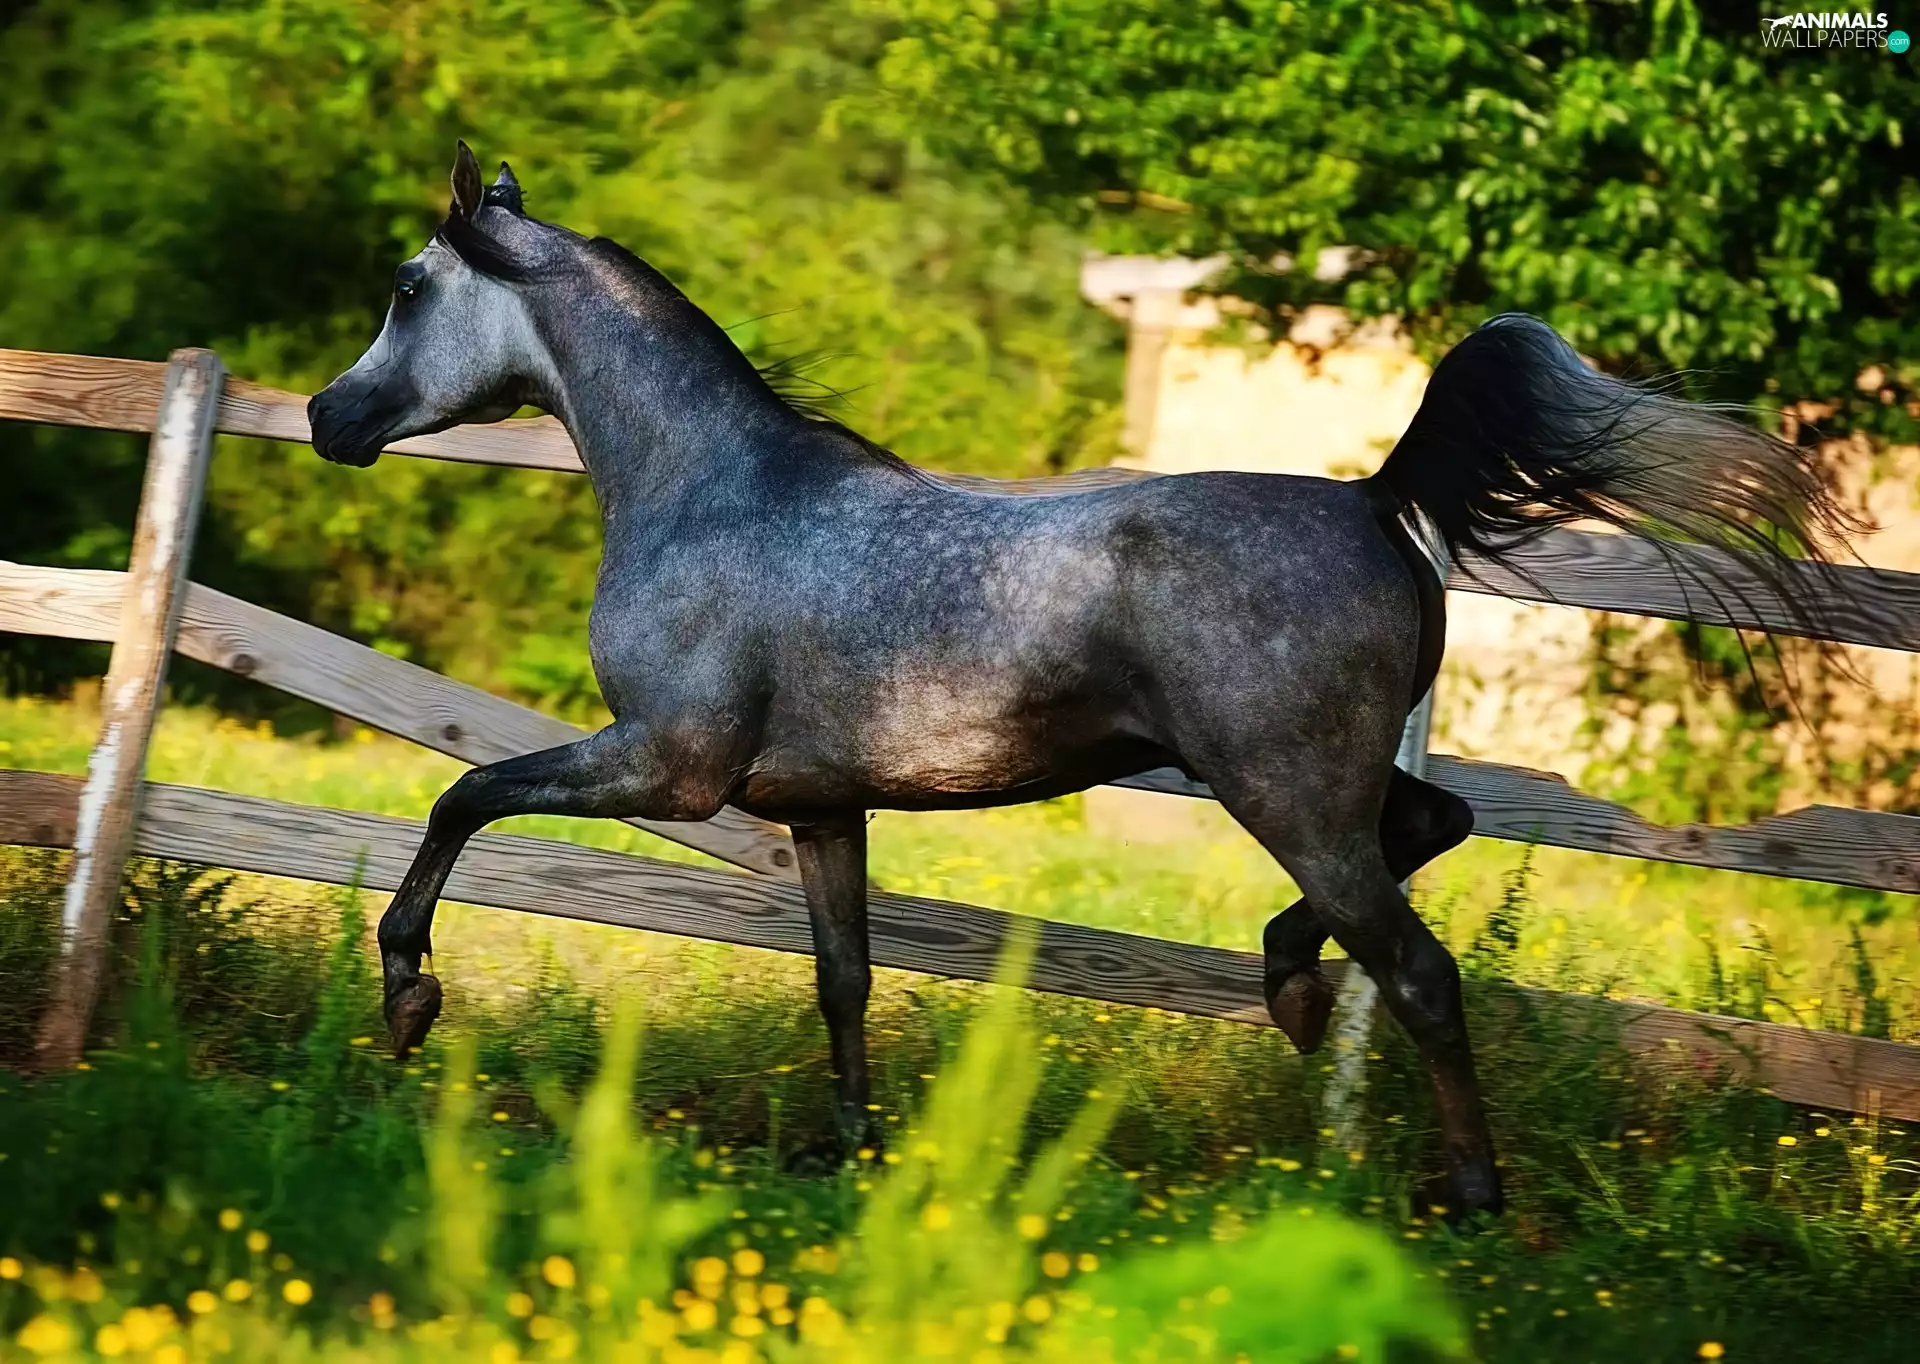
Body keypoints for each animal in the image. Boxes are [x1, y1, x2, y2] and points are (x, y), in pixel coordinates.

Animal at [308, 144, 1849, 1217]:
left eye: (407, 288)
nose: (330, 415)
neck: (710, 495)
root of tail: (1377, 504)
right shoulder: (820, 809)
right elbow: (843, 977)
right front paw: (853, 1151)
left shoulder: (666, 763)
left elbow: (463, 795)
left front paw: (407, 996)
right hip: (1325, 791)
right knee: (1435, 832)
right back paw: (1291, 986)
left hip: (1285, 791)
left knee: (1418, 967)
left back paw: (1462, 1189)